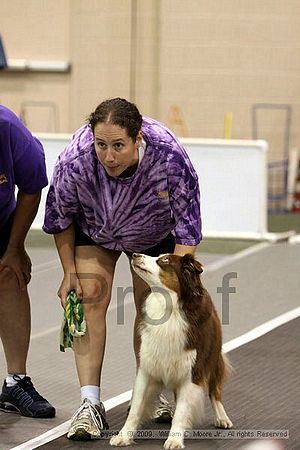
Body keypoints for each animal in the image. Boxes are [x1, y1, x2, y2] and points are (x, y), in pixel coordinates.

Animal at [110, 255, 232, 448]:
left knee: (215, 390)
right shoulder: (146, 367)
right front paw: (123, 436)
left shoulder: (192, 372)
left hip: (213, 356)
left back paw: (222, 417)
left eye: (164, 260)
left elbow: (182, 409)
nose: (136, 255)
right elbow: (136, 407)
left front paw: (174, 439)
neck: (167, 308)